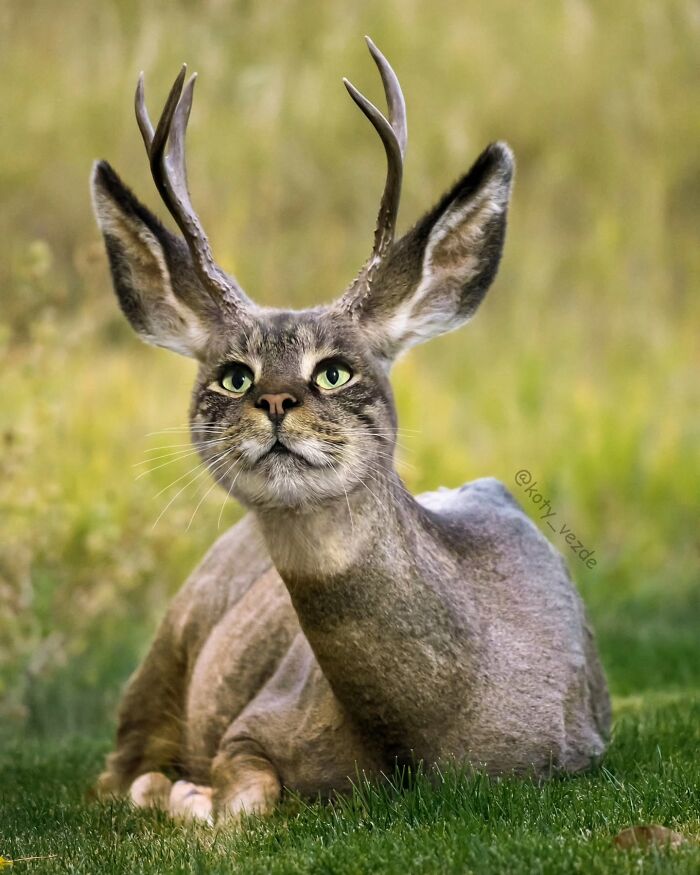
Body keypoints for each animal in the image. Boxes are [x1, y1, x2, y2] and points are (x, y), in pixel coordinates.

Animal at [90, 38, 611, 824]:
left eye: (335, 371)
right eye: (232, 374)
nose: (273, 400)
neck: (420, 738)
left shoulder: (576, 750)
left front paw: (187, 796)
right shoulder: (252, 723)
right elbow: (243, 799)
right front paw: (187, 796)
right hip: (165, 650)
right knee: (111, 771)